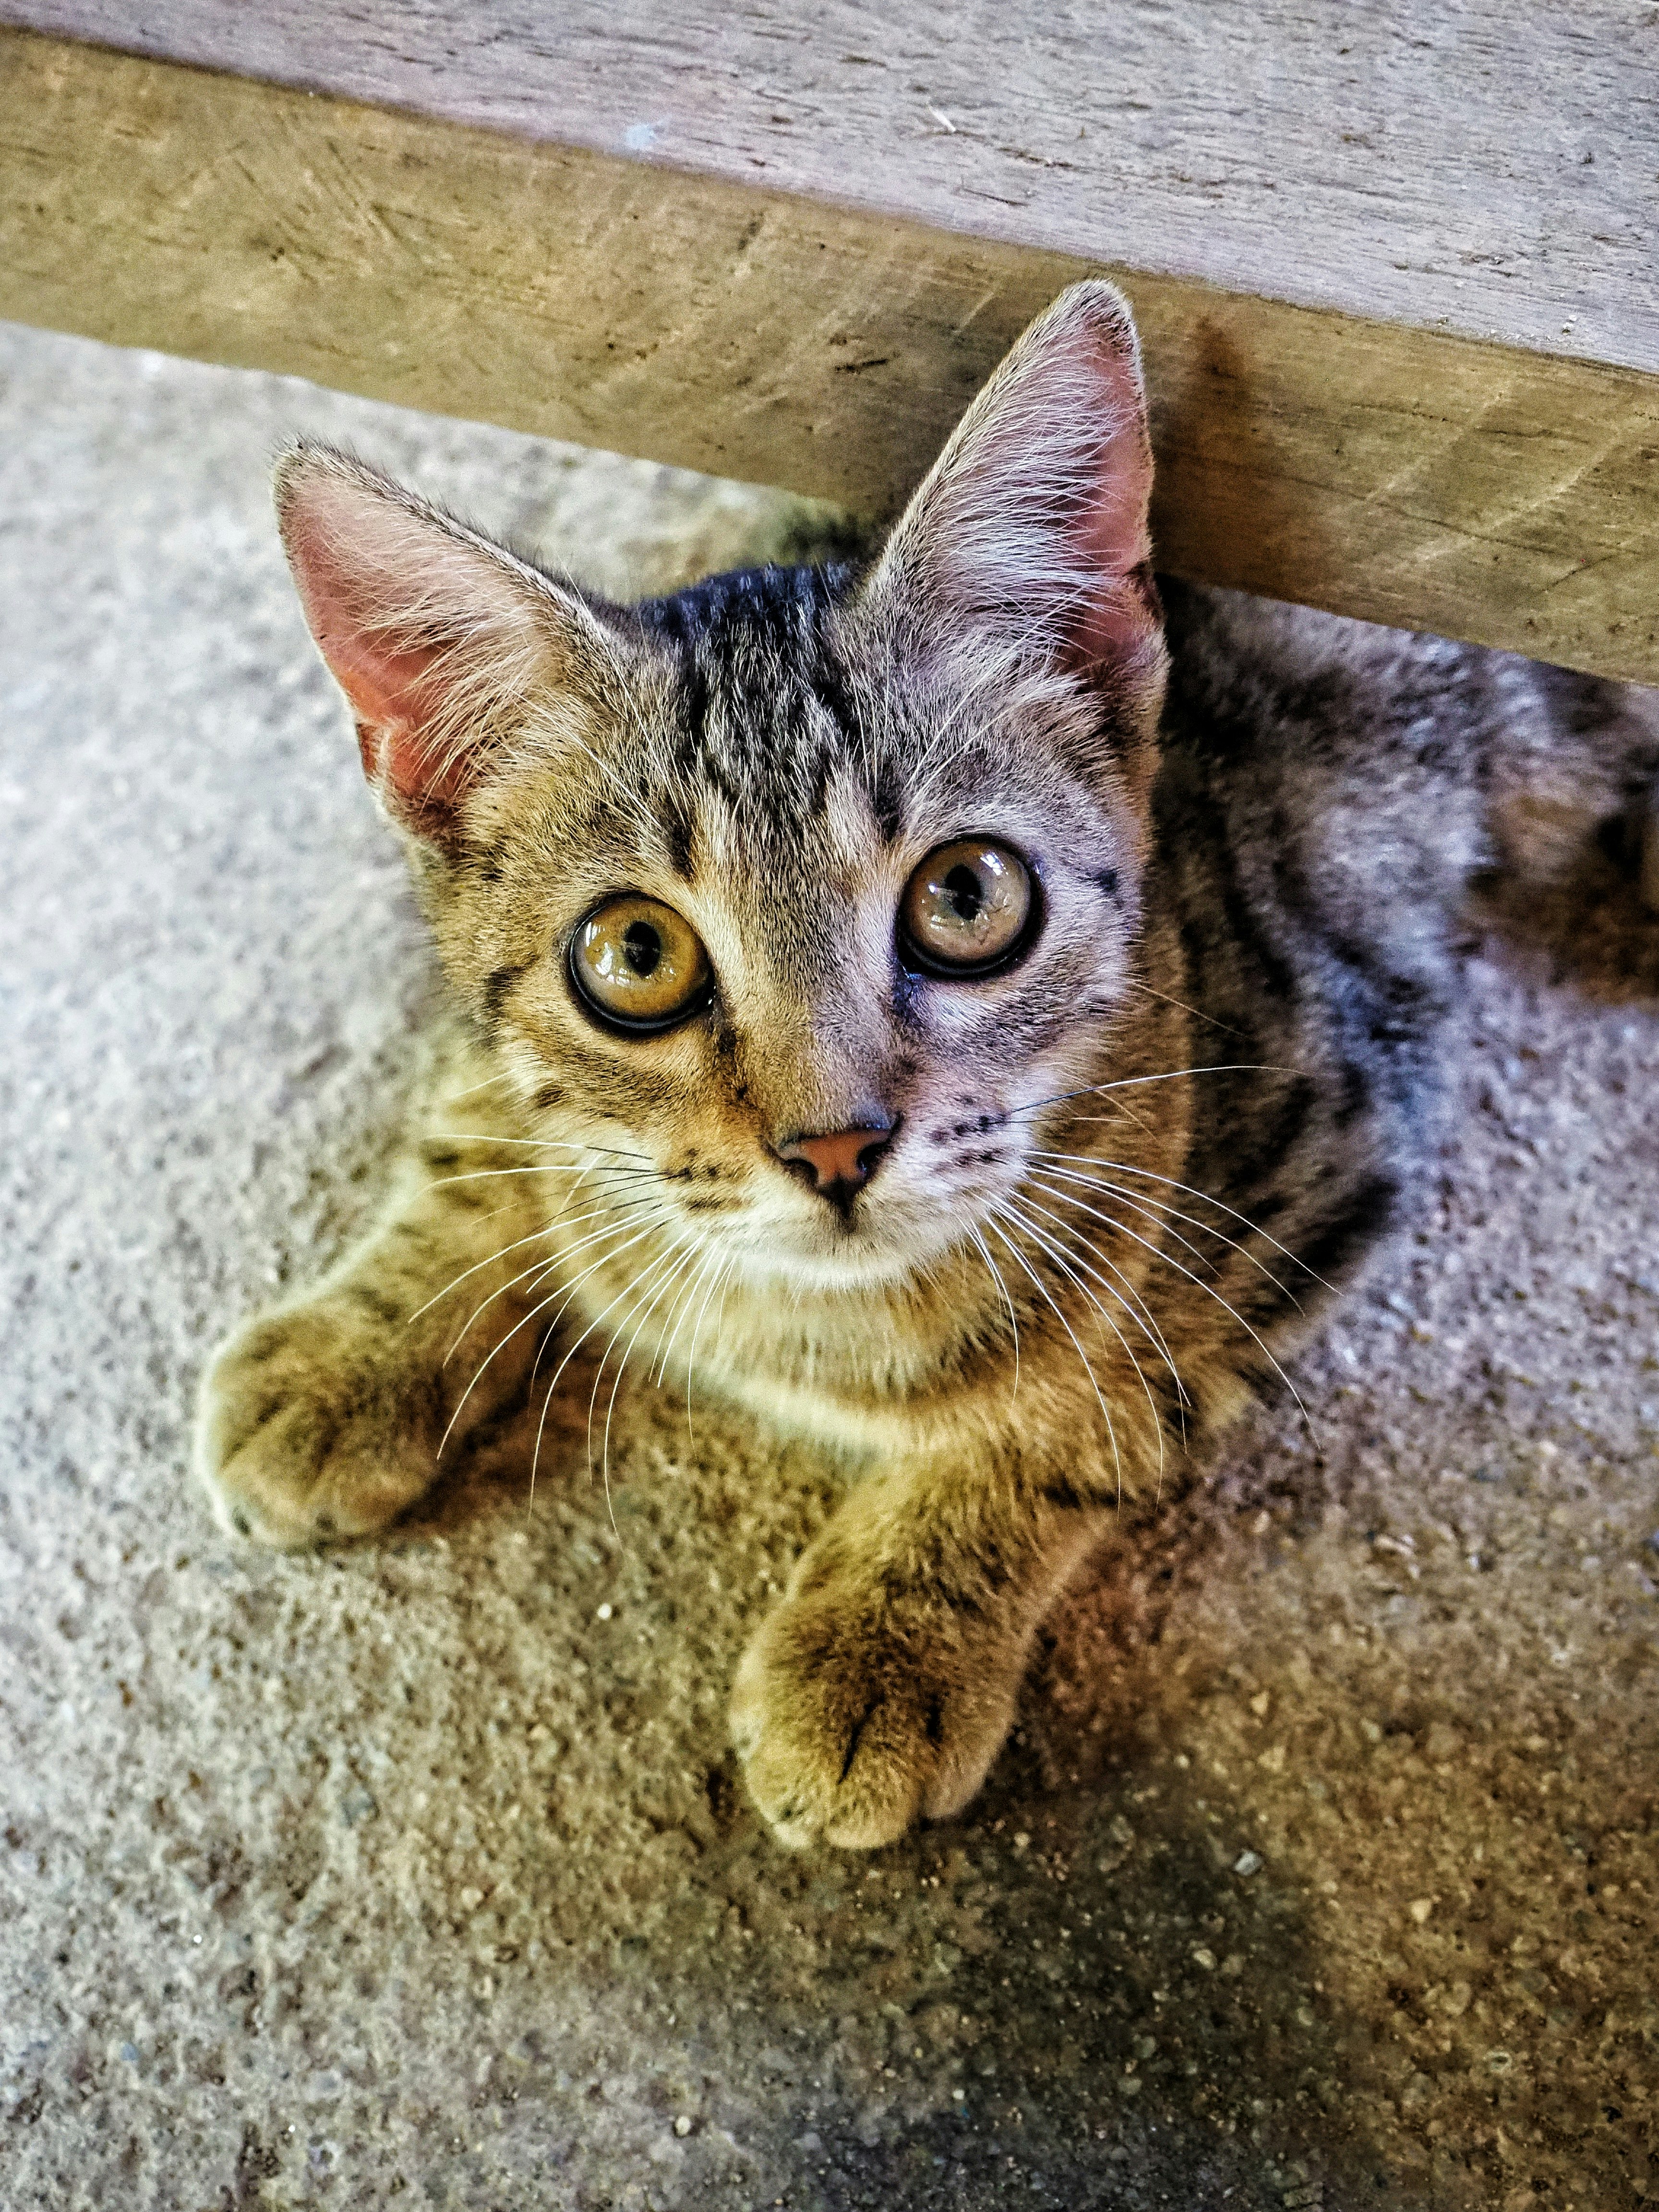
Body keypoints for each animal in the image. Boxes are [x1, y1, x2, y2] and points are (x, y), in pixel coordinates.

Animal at [198, 281, 1659, 1849]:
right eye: (634, 956)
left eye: (967, 897)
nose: (834, 1146)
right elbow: (490, 1112)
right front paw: (361, 1342)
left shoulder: (1333, 1130)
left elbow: (1096, 1398)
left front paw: (884, 1641)